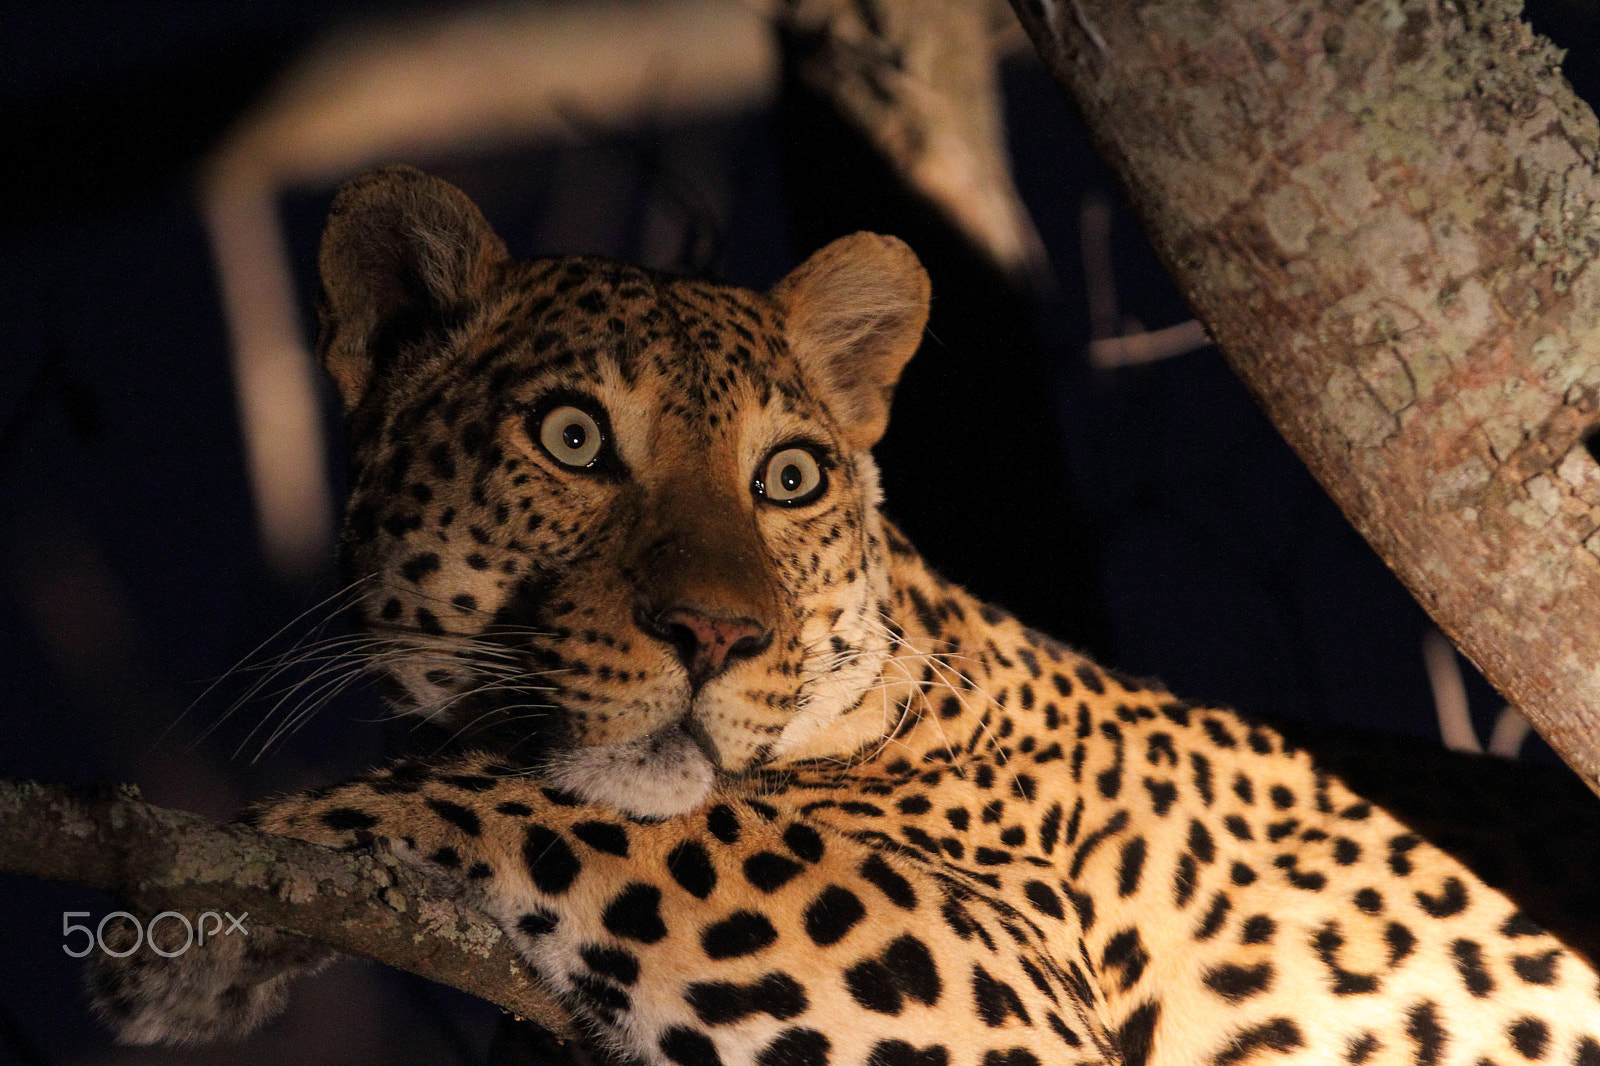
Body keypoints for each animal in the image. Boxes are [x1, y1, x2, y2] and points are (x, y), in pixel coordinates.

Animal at [90, 164, 1600, 1062]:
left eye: (790, 476)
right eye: (573, 437)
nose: (715, 635)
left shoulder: (1000, 976)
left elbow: (606, 812)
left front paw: (210, 902)